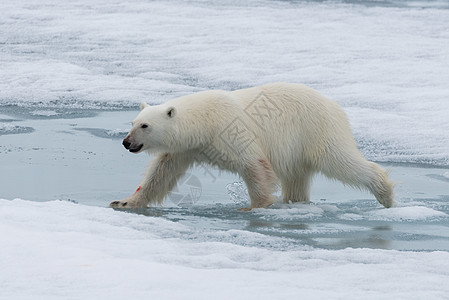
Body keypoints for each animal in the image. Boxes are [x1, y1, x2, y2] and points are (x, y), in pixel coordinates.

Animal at [110, 81, 394, 210]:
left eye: (145, 126)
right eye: (132, 122)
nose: (126, 142)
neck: (205, 121)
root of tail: (336, 107)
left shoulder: (230, 130)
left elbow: (254, 165)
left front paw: (255, 206)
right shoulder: (186, 148)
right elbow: (161, 173)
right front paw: (124, 201)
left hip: (316, 130)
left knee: (340, 160)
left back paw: (385, 193)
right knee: (297, 179)